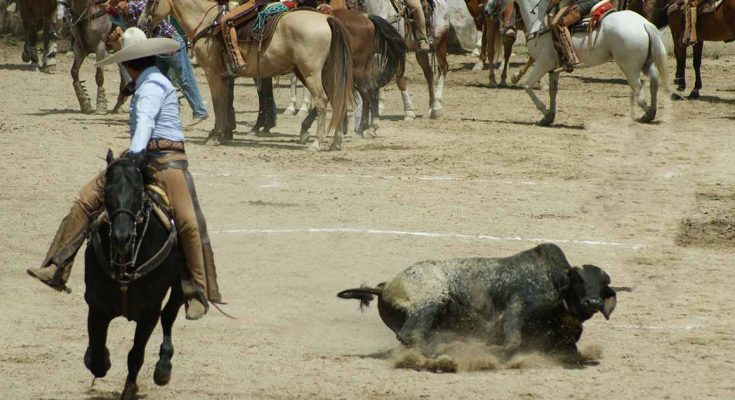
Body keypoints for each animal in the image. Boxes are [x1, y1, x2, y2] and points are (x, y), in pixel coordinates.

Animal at [84, 152, 187, 400]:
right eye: (107, 189)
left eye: (137, 191)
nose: (122, 236)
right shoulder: (97, 306)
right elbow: (98, 356)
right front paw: (97, 357)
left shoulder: (149, 312)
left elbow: (136, 354)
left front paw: (130, 389)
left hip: (180, 286)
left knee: (169, 315)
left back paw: (163, 368)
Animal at [142, 0, 356, 152]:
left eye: (152, 2)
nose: (141, 23)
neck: (208, 23)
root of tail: (326, 19)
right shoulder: (226, 76)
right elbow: (226, 102)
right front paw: (223, 133)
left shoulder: (212, 73)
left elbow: (218, 103)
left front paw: (215, 136)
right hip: (327, 72)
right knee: (337, 100)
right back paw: (336, 141)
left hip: (310, 73)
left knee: (322, 101)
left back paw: (317, 142)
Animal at [504, 0, 668, 125]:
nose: (507, 30)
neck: (539, 21)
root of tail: (644, 24)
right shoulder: (553, 68)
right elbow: (553, 92)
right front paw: (549, 116)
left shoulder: (542, 63)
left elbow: (527, 86)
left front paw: (545, 112)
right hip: (647, 63)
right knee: (654, 82)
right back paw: (651, 112)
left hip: (630, 67)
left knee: (638, 91)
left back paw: (647, 114)